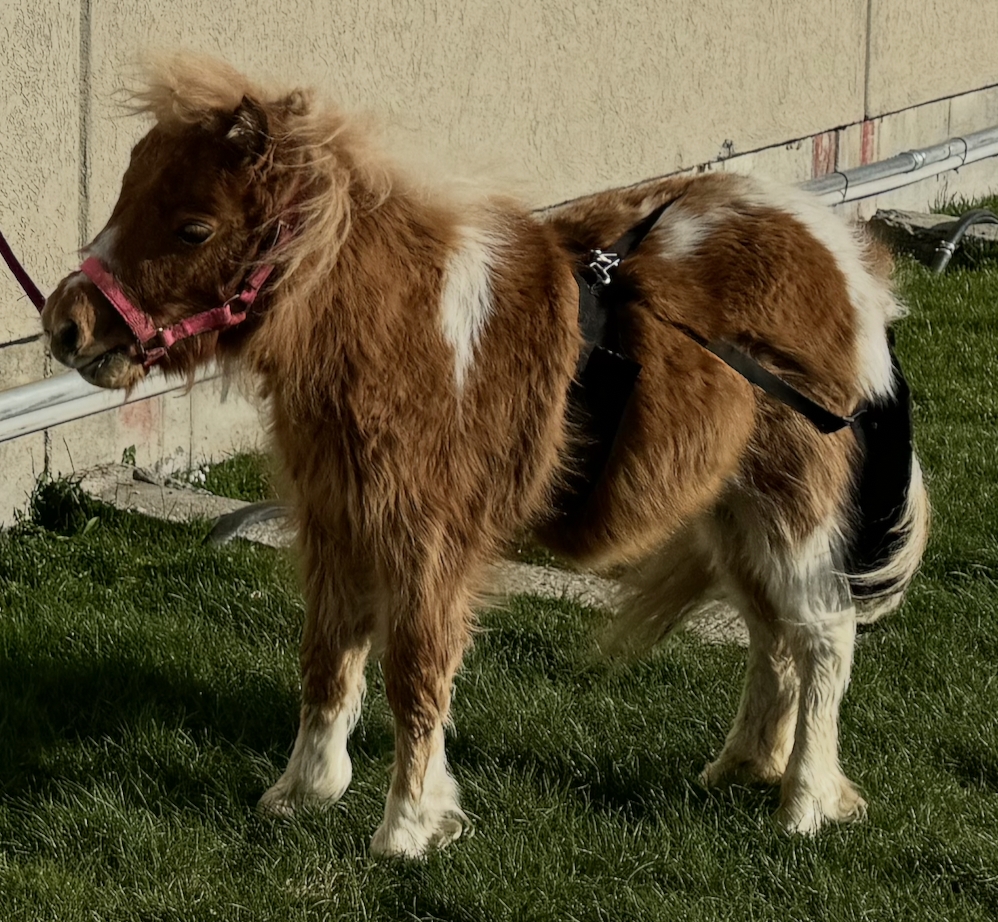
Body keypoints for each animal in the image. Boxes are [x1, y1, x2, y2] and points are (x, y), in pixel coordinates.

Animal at [41, 54, 928, 858]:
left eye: (194, 226)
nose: (65, 326)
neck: (396, 335)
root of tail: (840, 255)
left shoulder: (428, 543)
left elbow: (415, 673)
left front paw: (407, 829)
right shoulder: (337, 526)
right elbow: (327, 659)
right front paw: (303, 793)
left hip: (790, 504)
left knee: (823, 634)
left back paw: (803, 805)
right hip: (732, 511)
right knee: (772, 634)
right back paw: (742, 768)